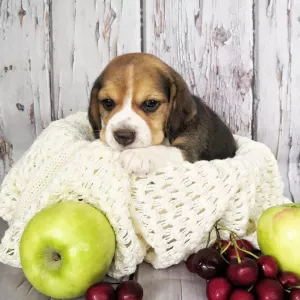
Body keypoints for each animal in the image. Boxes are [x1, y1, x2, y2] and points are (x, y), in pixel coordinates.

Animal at [88, 52, 236, 175]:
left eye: (151, 103)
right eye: (107, 102)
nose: (123, 135)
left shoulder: (189, 150)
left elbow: (165, 150)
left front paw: (138, 155)